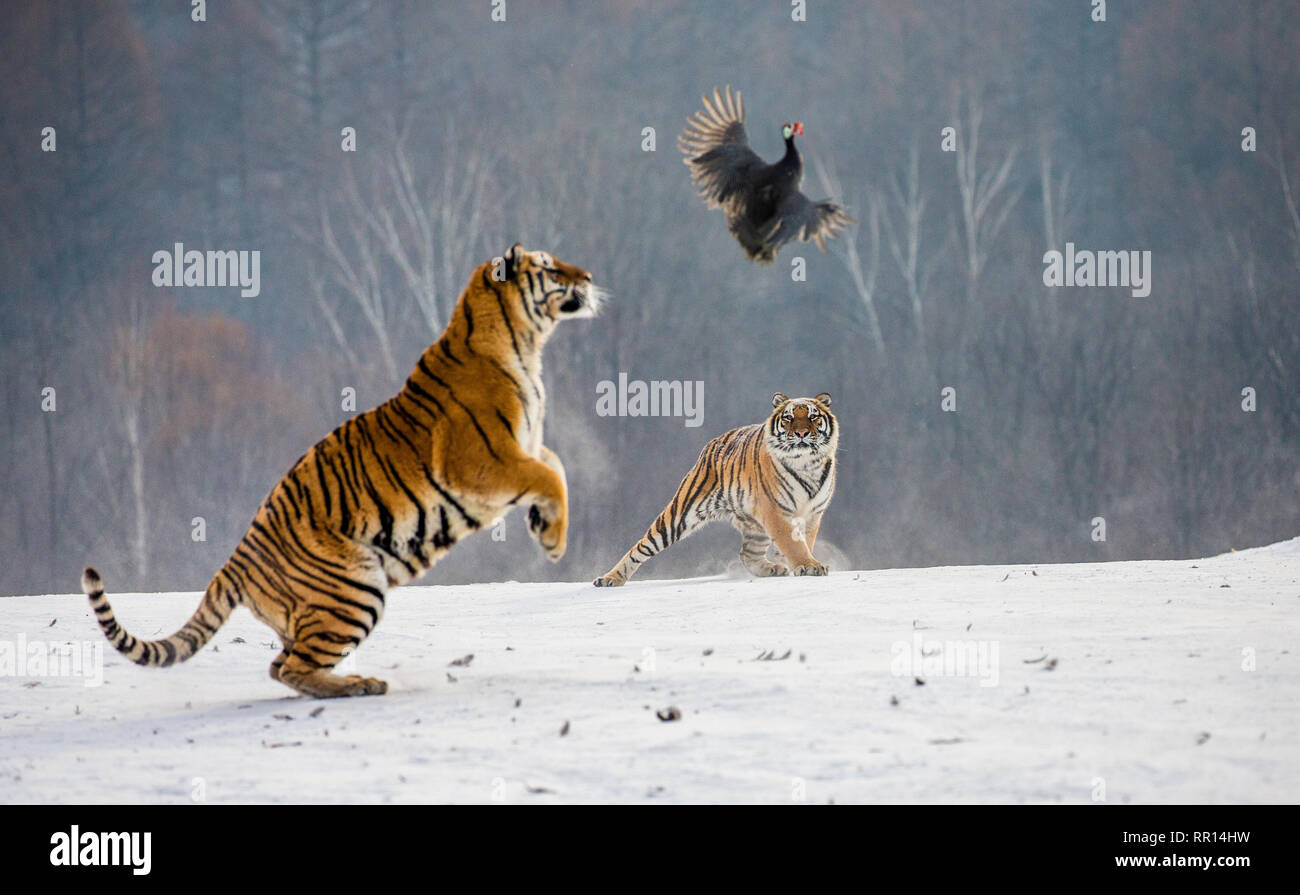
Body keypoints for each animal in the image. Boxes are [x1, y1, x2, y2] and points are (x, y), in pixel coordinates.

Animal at [86, 244, 603, 697]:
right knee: (291, 667)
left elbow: (554, 467)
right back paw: (360, 685)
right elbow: (548, 476)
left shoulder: (525, 446)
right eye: (550, 267)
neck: (524, 344)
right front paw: (554, 543)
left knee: (281, 664)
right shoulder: (478, 462)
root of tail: (234, 562)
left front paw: (541, 523)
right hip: (356, 589)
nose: (589, 275)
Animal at [595, 390, 837, 587]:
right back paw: (609, 579)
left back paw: (773, 568)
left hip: (755, 526)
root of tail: (714, 442)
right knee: (640, 547)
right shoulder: (777, 511)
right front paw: (809, 565)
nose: (802, 433)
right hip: (678, 517)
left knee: (747, 554)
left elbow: (803, 541)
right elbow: (793, 542)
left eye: (813, 416)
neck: (807, 464)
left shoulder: (813, 513)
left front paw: (799, 563)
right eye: (788, 418)